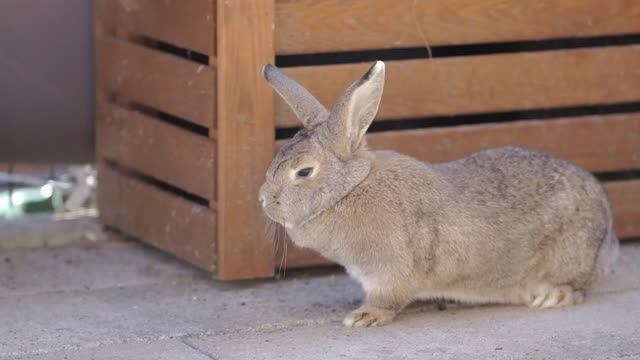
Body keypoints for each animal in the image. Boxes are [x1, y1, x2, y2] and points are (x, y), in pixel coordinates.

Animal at [258, 61, 616, 326]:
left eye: (304, 172)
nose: (263, 200)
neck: (350, 189)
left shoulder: (391, 271)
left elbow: (388, 298)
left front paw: (364, 316)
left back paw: (552, 295)